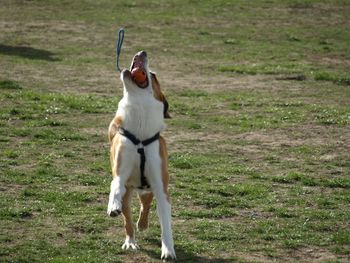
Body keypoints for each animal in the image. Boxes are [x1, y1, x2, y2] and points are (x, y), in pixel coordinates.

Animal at [106, 50, 175, 260]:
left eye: (153, 75)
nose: (141, 52)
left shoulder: (161, 187)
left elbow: (165, 223)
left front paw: (168, 250)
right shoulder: (120, 173)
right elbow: (115, 186)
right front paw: (112, 206)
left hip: (148, 187)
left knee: (146, 203)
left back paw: (142, 224)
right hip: (129, 192)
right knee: (127, 219)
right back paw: (130, 240)